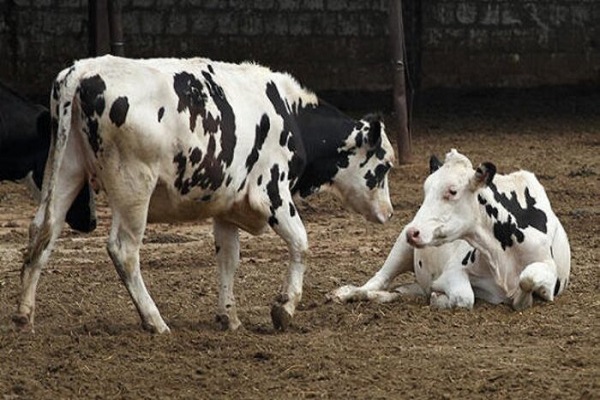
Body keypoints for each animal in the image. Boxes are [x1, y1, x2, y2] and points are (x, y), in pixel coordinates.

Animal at [11, 54, 396, 332]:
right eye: (385, 166)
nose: (390, 213)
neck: (289, 115)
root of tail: (82, 71)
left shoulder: (226, 208)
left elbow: (228, 260)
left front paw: (229, 317)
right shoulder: (272, 193)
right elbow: (301, 243)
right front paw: (284, 308)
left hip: (66, 170)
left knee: (43, 231)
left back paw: (24, 314)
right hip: (133, 186)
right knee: (123, 250)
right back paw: (154, 320)